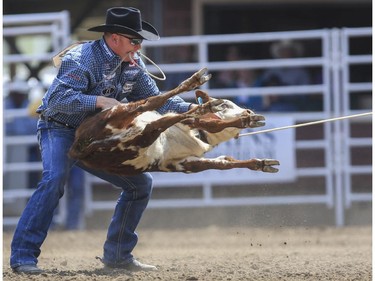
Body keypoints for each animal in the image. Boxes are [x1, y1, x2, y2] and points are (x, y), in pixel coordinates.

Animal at [70, 67, 280, 174]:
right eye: (225, 105)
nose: (246, 110)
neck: (199, 137)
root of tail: (78, 147)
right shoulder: (190, 125)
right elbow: (203, 121)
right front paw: (242, 119)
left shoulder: (183, 163)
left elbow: (223, 163)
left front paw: (262, 163)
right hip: (120, 114)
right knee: (152, 106)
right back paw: (196, 88)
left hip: (137, 137)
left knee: (155, 122)